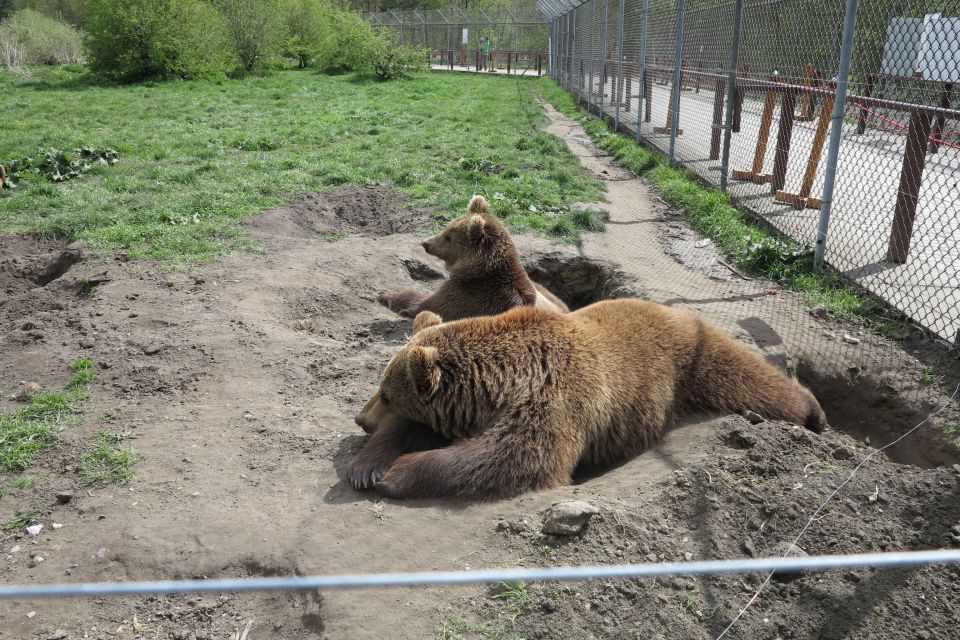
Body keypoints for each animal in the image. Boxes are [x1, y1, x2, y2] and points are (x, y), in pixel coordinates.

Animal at [352, 300, 824, 500]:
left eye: (386, 393)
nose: (360, 418)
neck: (499, 384)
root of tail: (669, 306)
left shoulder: (553, 395)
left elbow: (519, 456)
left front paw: (398, 473)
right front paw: (368, 467)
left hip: (691, 356)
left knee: (748, 378)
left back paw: (812, 412)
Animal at [376, 195, 568, 322]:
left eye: (448, 237)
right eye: (447, 227)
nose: (426, 243)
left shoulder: (470, 296)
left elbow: (425, 303)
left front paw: (386, 293)